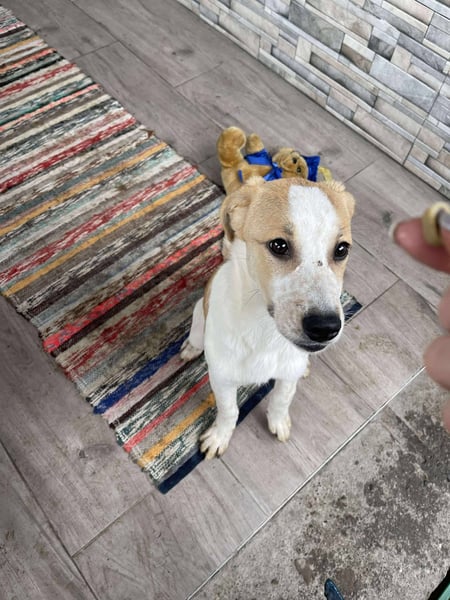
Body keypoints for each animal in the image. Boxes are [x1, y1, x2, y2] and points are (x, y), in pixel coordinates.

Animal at [181, 175, 355, 459]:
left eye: (341, 249)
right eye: (279, 245)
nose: (325, 328)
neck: (264, 332)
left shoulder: (287, 373)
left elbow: (282, 399)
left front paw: (278, 422)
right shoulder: (222, 378)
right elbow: (229, 410)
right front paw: (219, 436)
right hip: (199, 313)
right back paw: (190, 348)